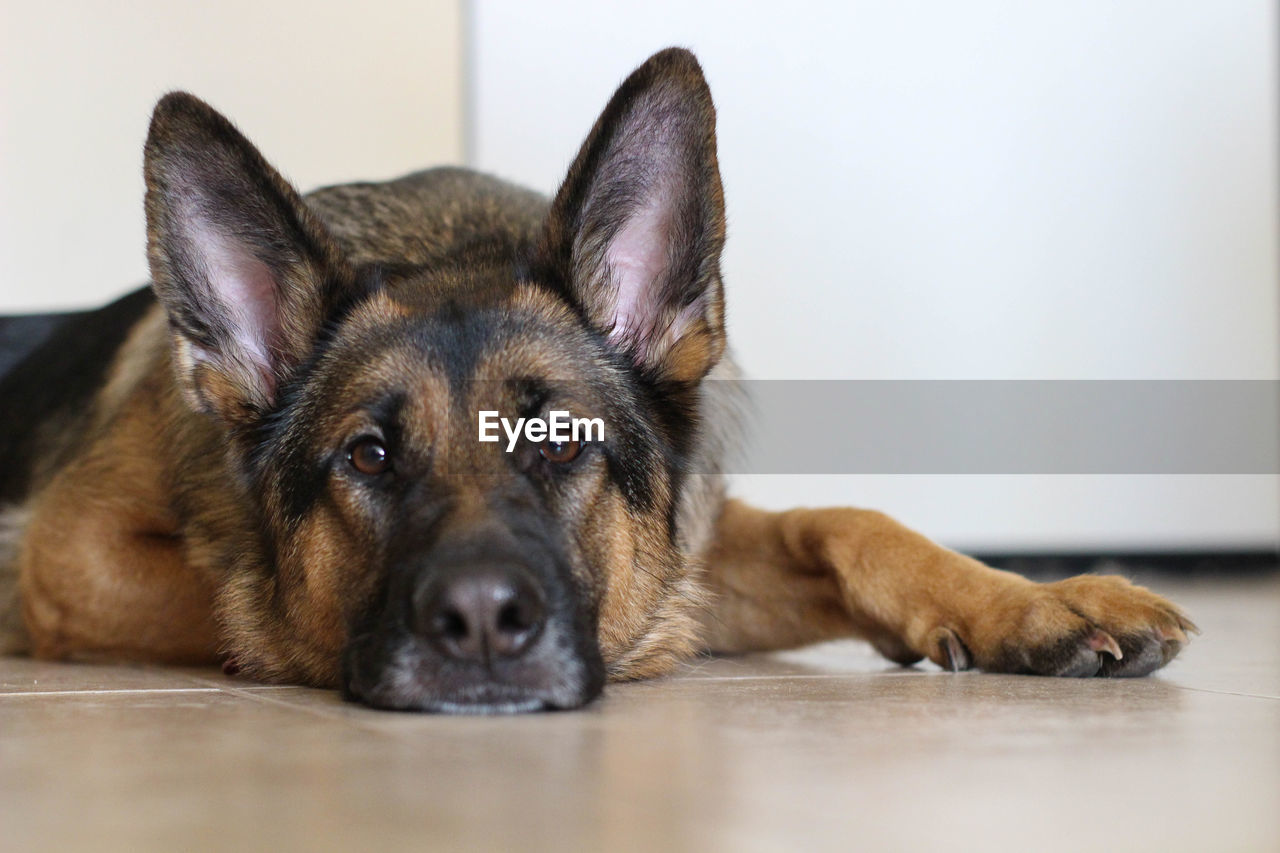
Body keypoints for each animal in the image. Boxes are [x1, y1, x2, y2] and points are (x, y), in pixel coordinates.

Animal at [2, 48, 1198, 712]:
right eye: (368, 456)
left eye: (560, 442)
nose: (482, 624)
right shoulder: (70, 557)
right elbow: (250, 599)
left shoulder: (685, 554)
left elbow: (844, 523)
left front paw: (1032, 602)